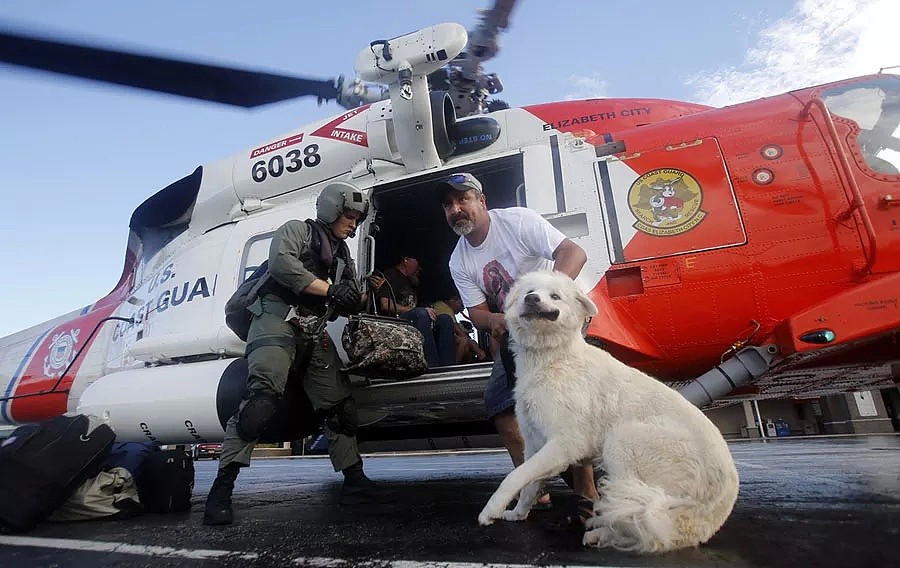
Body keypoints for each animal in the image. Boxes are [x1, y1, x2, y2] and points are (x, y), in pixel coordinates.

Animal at [478, 270, 740, 556]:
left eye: (555, 296)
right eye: (529, 291)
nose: (532, 299)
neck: (553, 358)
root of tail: (710, 513)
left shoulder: (564, 444)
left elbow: (514, 476)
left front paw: (491, 510)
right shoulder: (534, 441)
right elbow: (527, 483)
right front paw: (517, 513)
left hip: (623, 440)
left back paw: (600, 534)